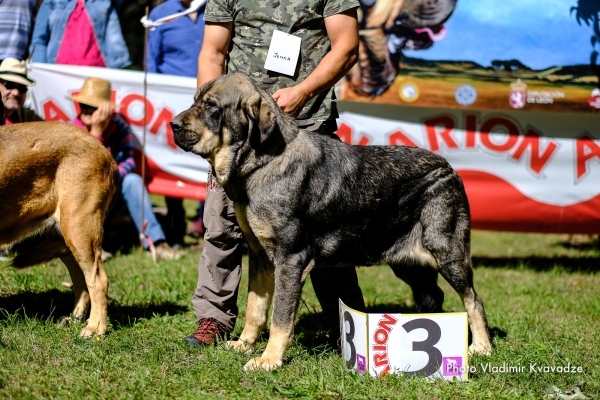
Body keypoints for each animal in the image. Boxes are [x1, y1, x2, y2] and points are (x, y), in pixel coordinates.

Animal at [0, 101, 119, 336]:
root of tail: (105, 151)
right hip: (65, 235)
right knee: (80, 280)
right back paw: (75, 318)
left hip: (79, 227)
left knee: (97, 279)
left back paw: (95, 328)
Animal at [170, 73, 492, 370]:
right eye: (196, 100)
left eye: (211, 106)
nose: (173, 124)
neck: (263, 163)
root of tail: (450, 169)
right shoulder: (260, 254)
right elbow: (255, 306)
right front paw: (244, 344)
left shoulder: (291, 259)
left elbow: (280, 317)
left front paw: (269, 360)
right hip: (408, 263)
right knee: (432, 296)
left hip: (447, 252)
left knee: (473, 299)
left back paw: (481, 347)